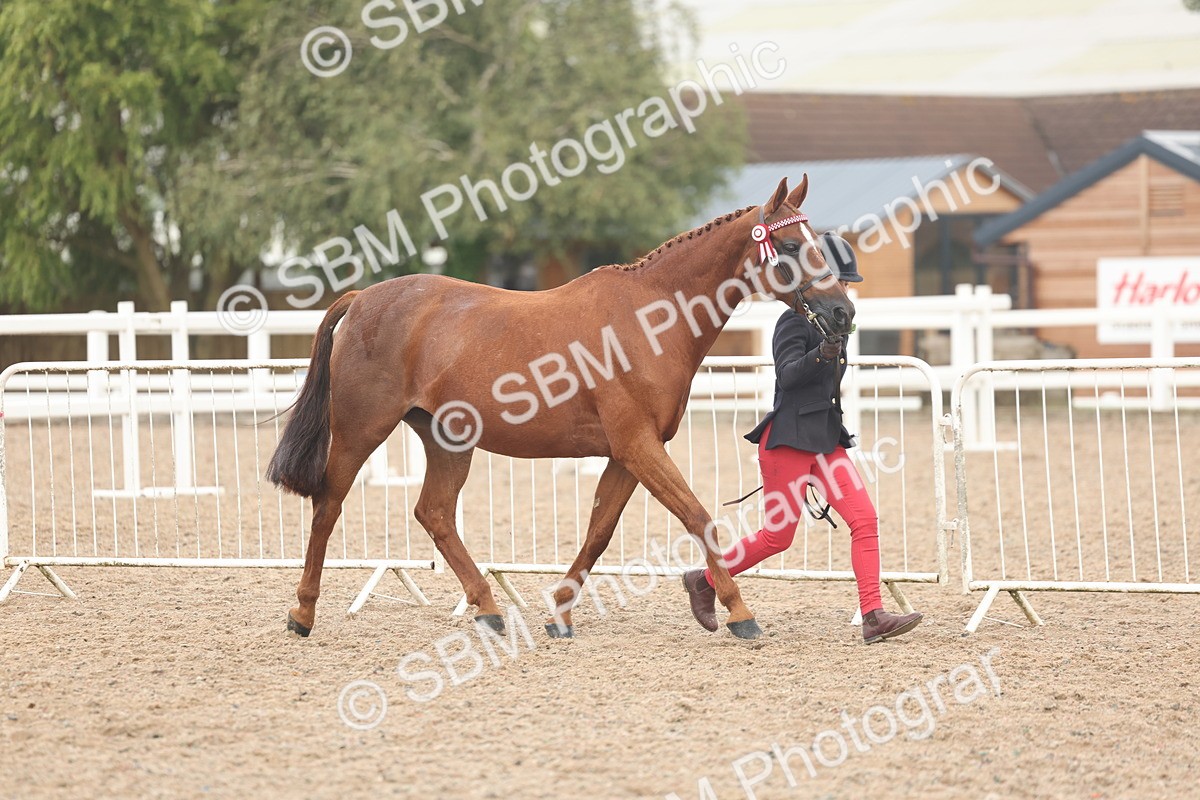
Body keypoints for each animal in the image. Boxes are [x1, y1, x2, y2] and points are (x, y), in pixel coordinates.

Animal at [266, 175, 855, 640]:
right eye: (792, 246)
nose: (842, 313)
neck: (649, 318)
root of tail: (363, 298)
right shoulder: (638, 447)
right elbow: (698, 518)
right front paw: (739, 613)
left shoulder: (627, 454)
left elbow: (599, 531)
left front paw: (560, 615)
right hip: (361, 428)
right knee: (328, 505)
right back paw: (302, 614)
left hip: (447, 439)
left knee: (433, 513)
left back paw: (489, 609)